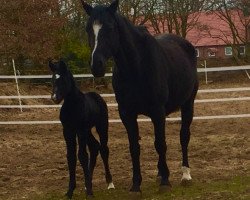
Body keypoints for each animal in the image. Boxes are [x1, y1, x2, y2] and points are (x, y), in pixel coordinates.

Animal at [48, 60, 114, 198]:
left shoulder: (80, 130)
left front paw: (89, 192)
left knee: (104, 149)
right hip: (88, 131)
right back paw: (87, 183)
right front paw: (70, 191)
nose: (54, 98)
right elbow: (71, 157)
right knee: (95, 147)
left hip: (101, 127)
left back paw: (110, 182)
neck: (72, 106)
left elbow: (82, 156)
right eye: (52, 79)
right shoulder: (68, 131)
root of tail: (97, 95)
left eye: (63, 80)